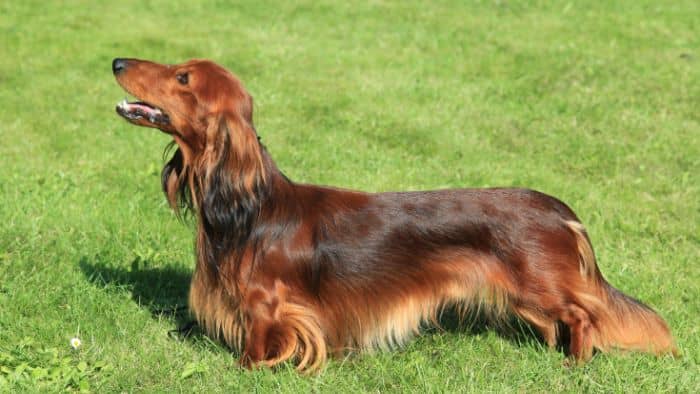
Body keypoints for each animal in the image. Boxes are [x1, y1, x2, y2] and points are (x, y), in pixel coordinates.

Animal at [112, 57, 676, 370]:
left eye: (182, 77)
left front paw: (247, 371)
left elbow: (258, 340)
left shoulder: (268, 303)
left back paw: (576, 365)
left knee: (584, 315)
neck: (249, 207)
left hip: (540, 285)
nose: (117, 61)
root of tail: (560, 210)